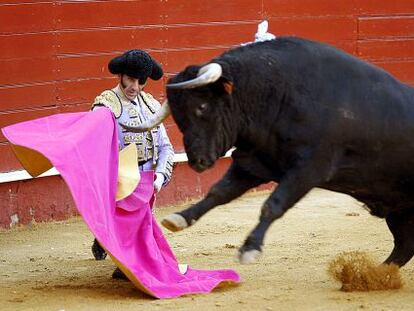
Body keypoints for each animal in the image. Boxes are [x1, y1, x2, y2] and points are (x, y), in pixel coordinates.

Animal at [121, 36, 414, 266]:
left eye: (202, 107)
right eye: (179, 119)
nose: (197, 161)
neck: (277, 93)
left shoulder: (309, 169)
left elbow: (272, 204)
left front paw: (250, 249)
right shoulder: (255, 163)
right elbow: (218, 192)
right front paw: (180, 218)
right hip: (399, 208)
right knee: (403, 247)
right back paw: (376, 275)